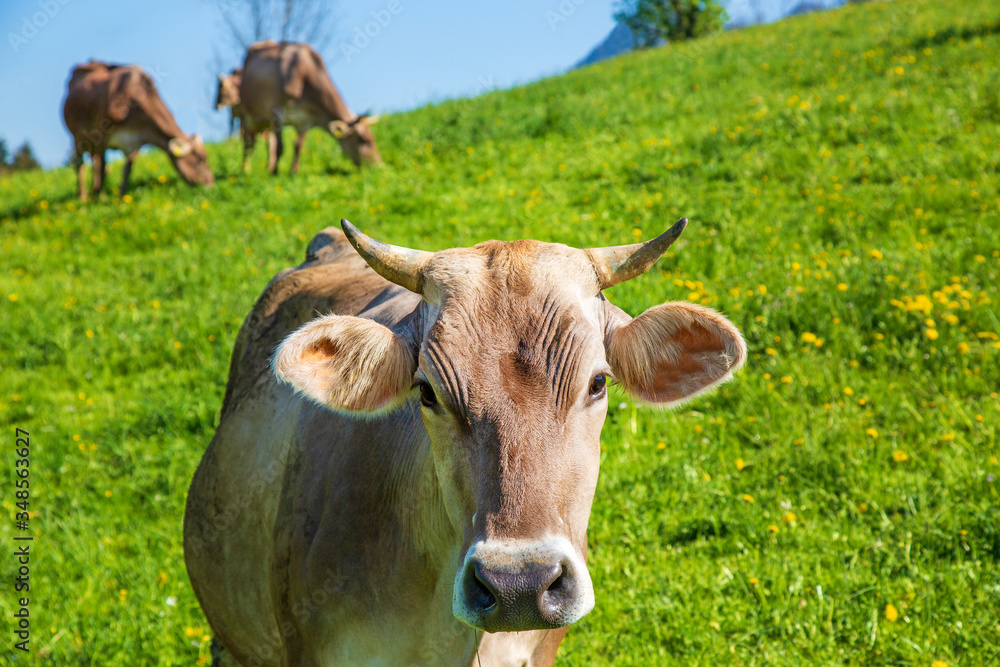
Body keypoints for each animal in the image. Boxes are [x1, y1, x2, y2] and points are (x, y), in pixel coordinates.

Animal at [63, 60, 214, 201]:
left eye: (206, 157)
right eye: (200, 159)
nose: (211, 185)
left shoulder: (135, 142)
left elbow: (126, 170)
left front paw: (121, 198)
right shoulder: (101, 136)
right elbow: (101, 167)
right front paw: (97, 200)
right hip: (78, 136)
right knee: (80, 163)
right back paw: (84, 197)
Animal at [238, 39, 382, 175]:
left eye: (373, 139)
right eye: (362, 140)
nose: (379, 166)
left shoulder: (306, 119)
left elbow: (298, 146)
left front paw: (294, 172)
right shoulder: (277, 112)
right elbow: (280, 147)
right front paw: (275, 173)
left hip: (266, 123)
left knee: (269, 143)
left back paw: (268, 167)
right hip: (247, 115)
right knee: (248, 143)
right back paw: (245, 170)